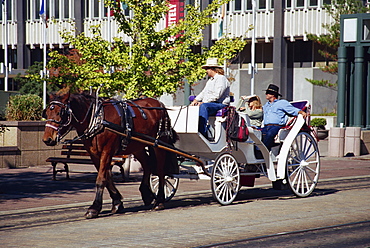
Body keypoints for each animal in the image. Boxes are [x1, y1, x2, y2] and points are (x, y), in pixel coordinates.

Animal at [42, 91, 178, 219]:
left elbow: (101, 179)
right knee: (148, 164)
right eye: (46, 113)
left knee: (160, 171)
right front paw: (117, 202)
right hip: (137, 146)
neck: (97, 119)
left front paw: (94, 208)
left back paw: (159, 201)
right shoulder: (94, 154)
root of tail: (160, 104)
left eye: (60, 113)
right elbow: (107, 177)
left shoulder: (107, 152)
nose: (47, 139)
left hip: (159, 144)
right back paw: (146, 193)